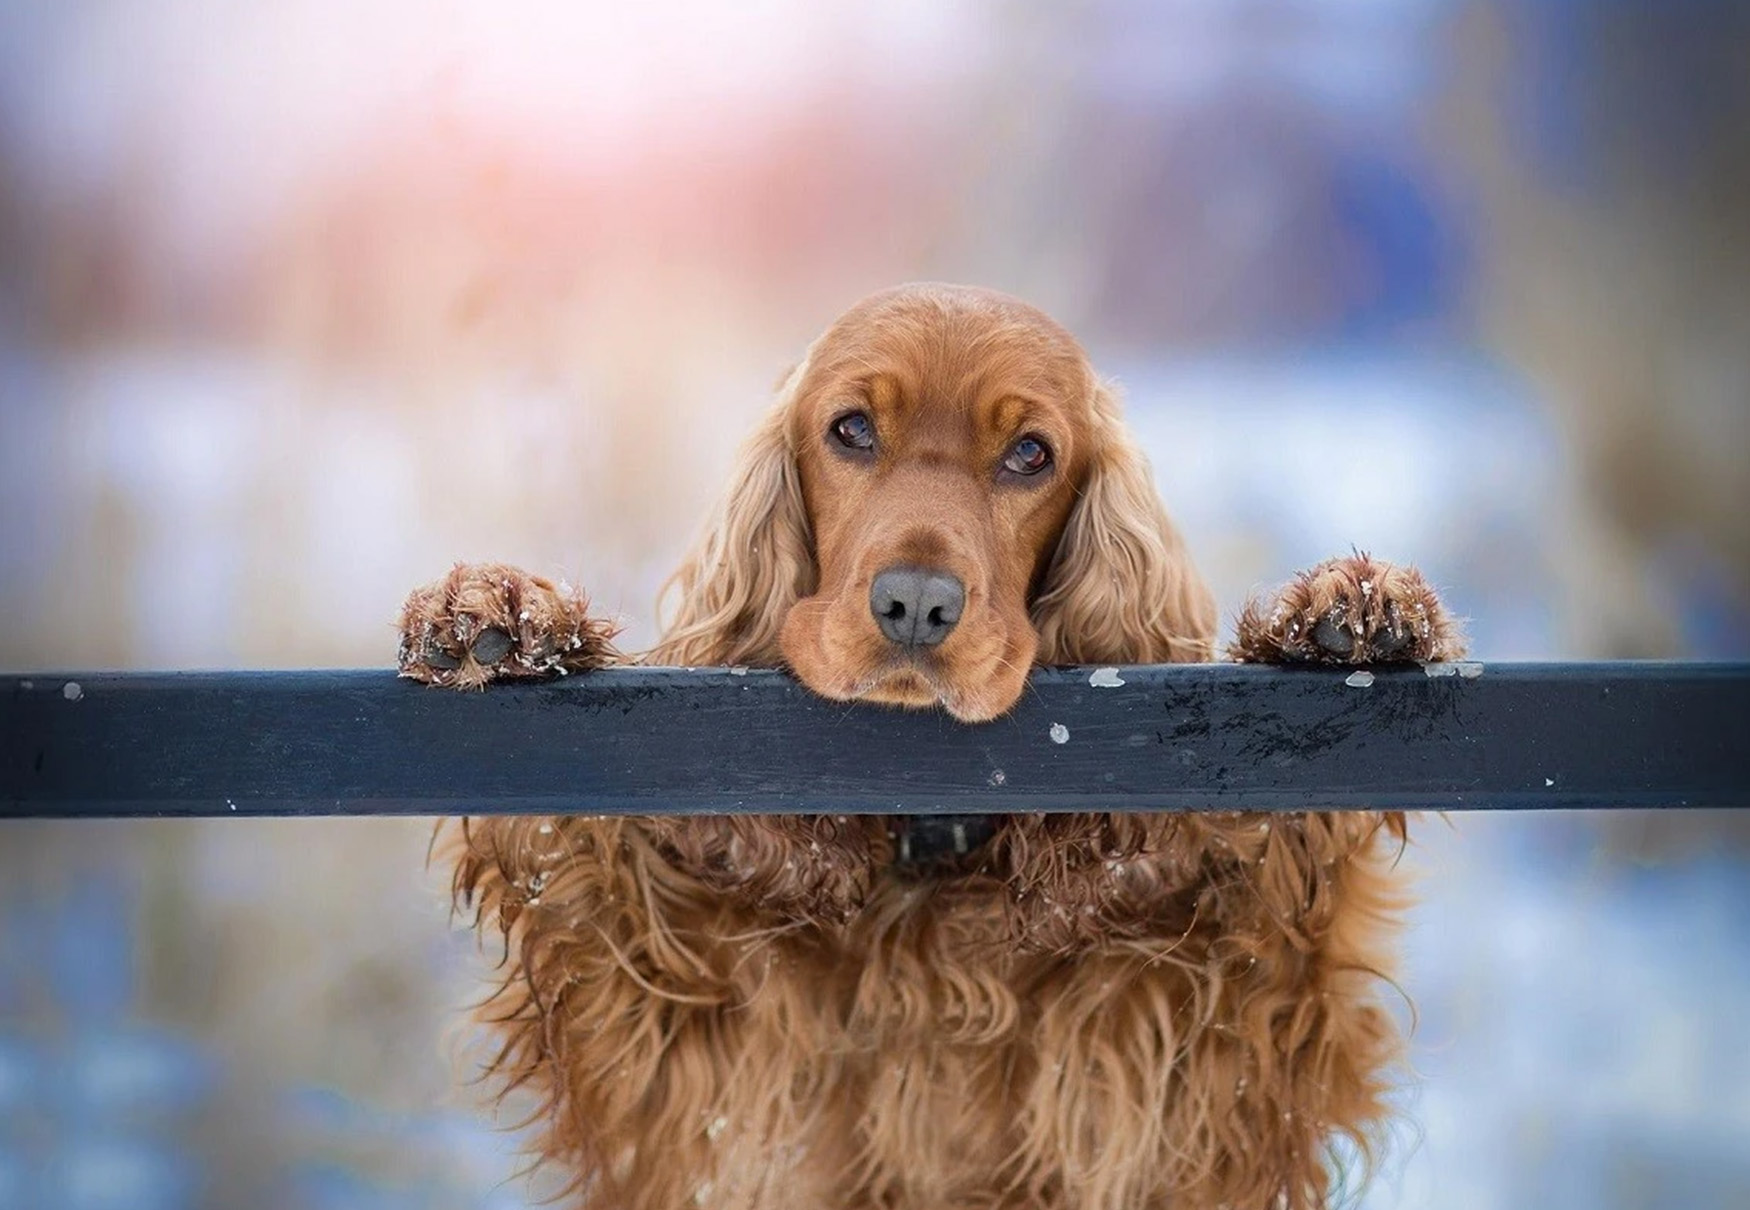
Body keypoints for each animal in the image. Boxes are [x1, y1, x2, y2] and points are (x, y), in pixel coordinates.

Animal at [397, 283, 1463, 1210]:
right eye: (851, 430)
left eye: (1031, 453)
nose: (915, 604)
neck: (927, 849)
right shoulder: (681, 1054)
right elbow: (581, 872)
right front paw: (501, 617)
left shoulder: (1200, 1060)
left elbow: (1285, 918)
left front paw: (1344, 613)